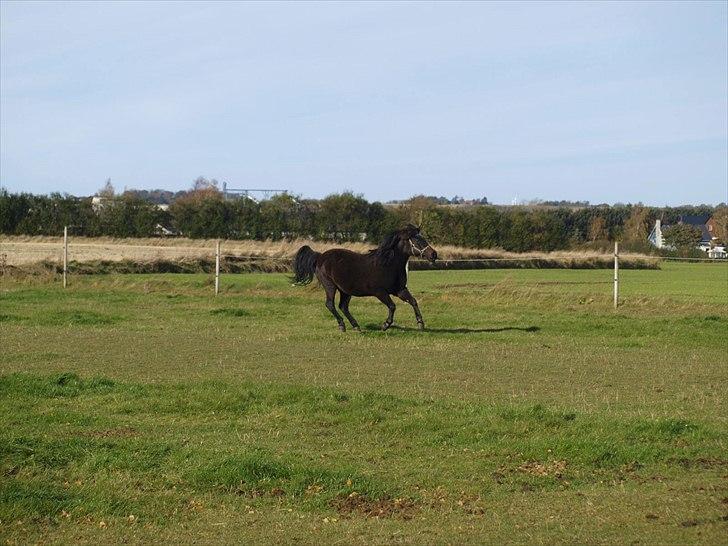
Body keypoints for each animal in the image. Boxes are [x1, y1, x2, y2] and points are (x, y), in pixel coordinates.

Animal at [292, 224, 438, 332]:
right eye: (417, 240)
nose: (434, 254)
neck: (387, 264)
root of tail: (320, 256)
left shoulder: (399, 290)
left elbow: (413, 301)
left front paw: (420, 323)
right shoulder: (380, 292)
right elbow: (392, 306)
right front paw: (385, 325)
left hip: (345, 290)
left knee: (343, 306)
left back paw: (356, 326)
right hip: (330, 286)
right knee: (330, 304)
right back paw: (342, 326)